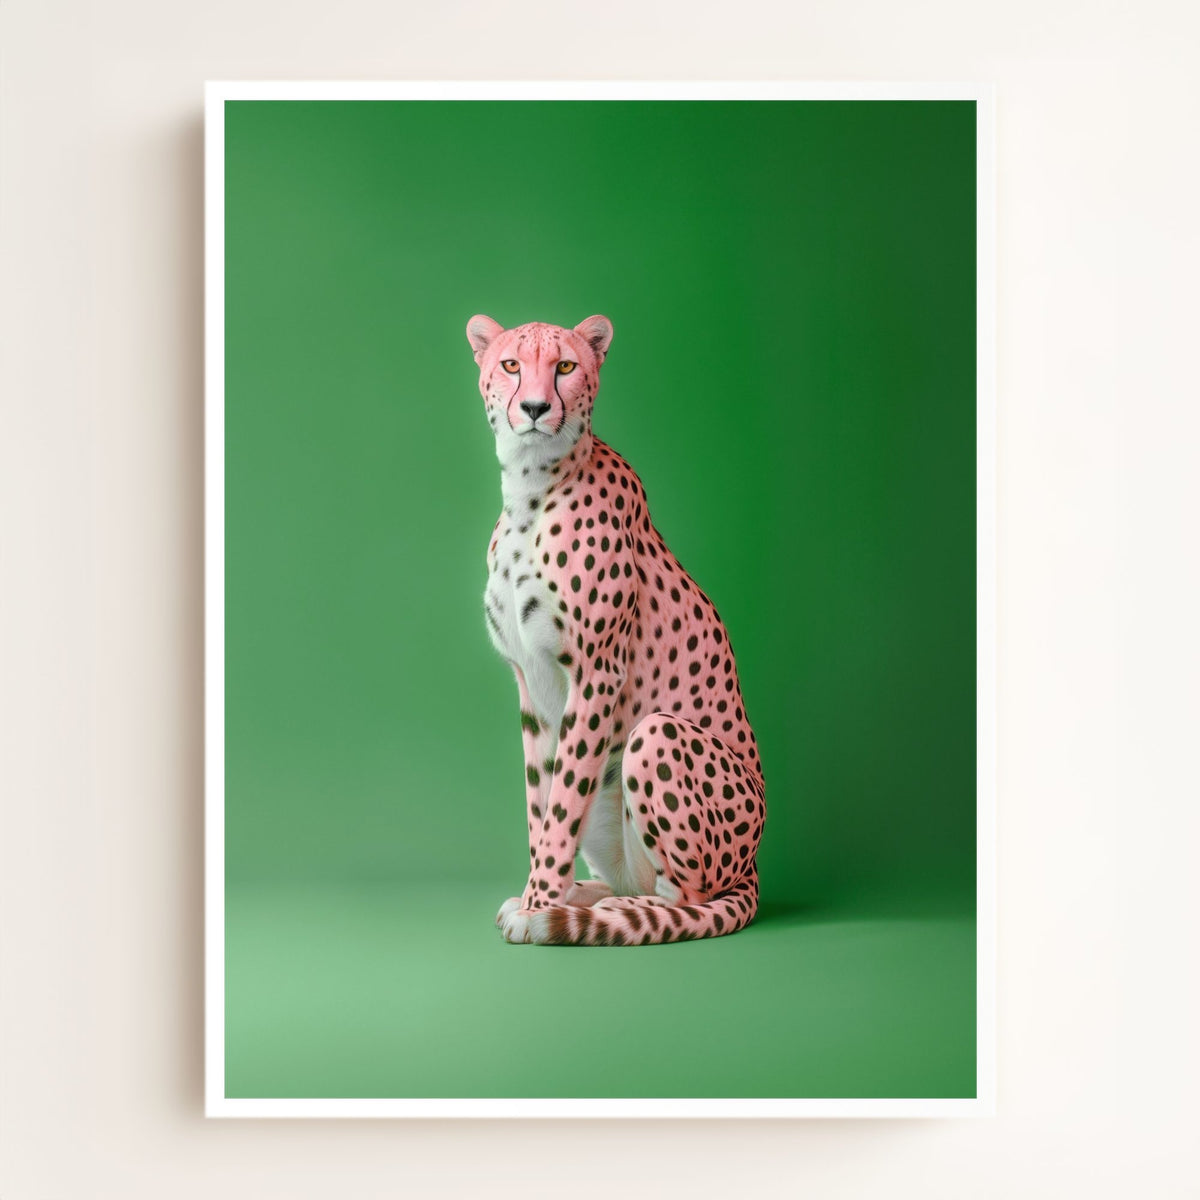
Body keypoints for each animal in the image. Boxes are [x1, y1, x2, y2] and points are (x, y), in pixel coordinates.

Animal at [467, 313, 765, 945]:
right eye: (510, 365)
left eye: (565, 366)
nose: (534, 407)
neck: (531, 488)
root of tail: (752, 866)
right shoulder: (531, 685)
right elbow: (541, 802)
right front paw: (538, 895)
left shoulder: (597, 674)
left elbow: (561, 808)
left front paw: (539, 906)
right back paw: (584, 896)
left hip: (655, 736)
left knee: (687, 899)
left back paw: (598, 913)